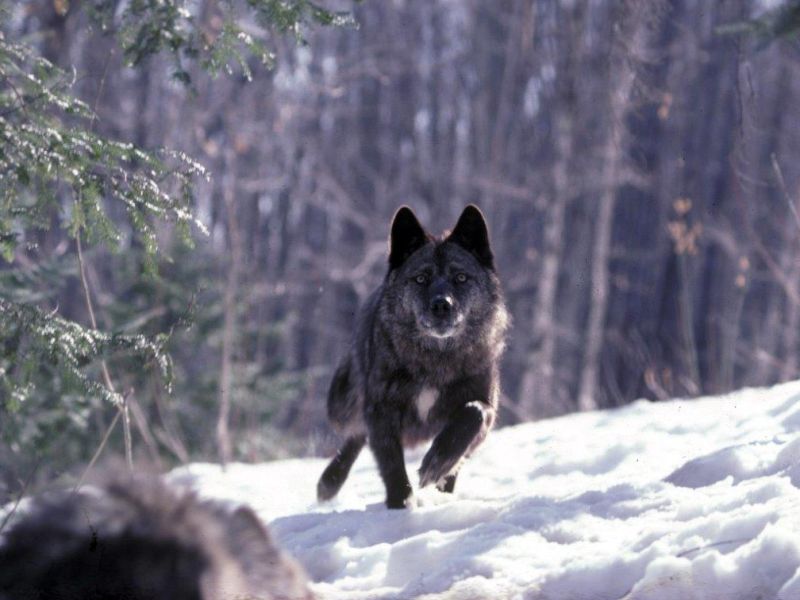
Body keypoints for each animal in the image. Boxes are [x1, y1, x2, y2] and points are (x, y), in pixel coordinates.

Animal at [317, 205, 509, 509]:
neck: (435, 360)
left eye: (461, 277)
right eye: (421, 278)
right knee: (355, 433)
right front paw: (401, 504)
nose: (442, 305)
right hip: (341, 407)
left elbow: (473, 412)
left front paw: (437, 463)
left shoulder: (486, 409)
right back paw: (329, 481)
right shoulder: (381, 412)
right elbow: (391, 464)